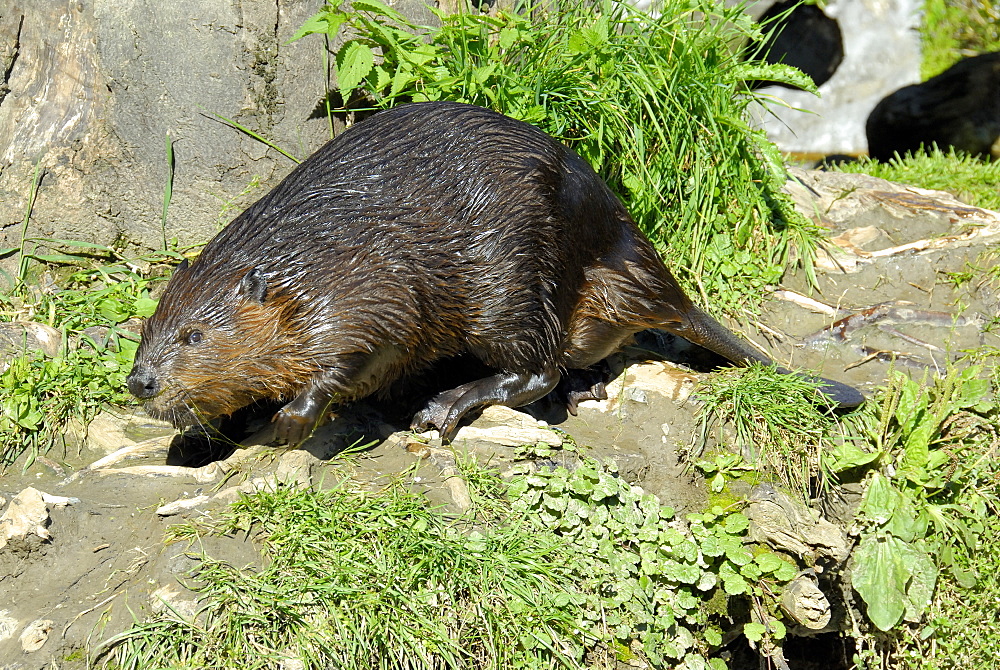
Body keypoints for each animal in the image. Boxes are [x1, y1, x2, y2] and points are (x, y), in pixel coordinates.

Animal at [129, 101, 864, 446]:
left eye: (194, 336)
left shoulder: (369, 281)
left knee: (537, 365)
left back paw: (447, 404)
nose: (140, 381)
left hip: (509, 275)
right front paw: (203, 431)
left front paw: (287, 420)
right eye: (149, 329)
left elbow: (366, 348)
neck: (303, 254)